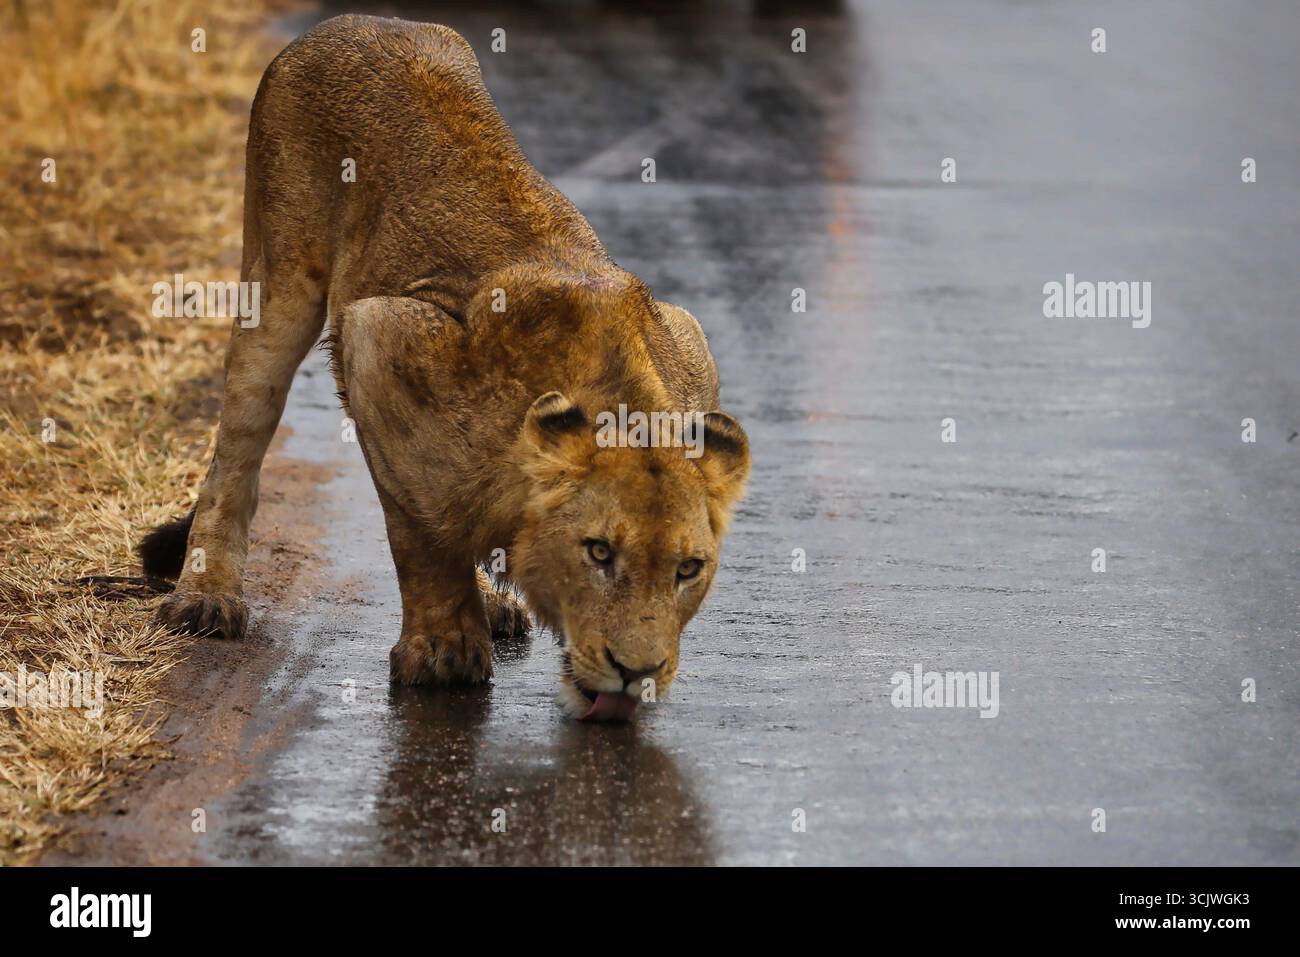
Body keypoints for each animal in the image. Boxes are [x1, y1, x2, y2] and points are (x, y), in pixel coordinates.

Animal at [139, 15, 750, 721]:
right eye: (599, 552)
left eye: (688, 570)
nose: (637, 673)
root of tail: (353, 21)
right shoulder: (378, 336)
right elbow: (421, 531)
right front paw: (444, 649)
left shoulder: (690, 344)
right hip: (278, 282)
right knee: (238, 449)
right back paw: (207, 596)